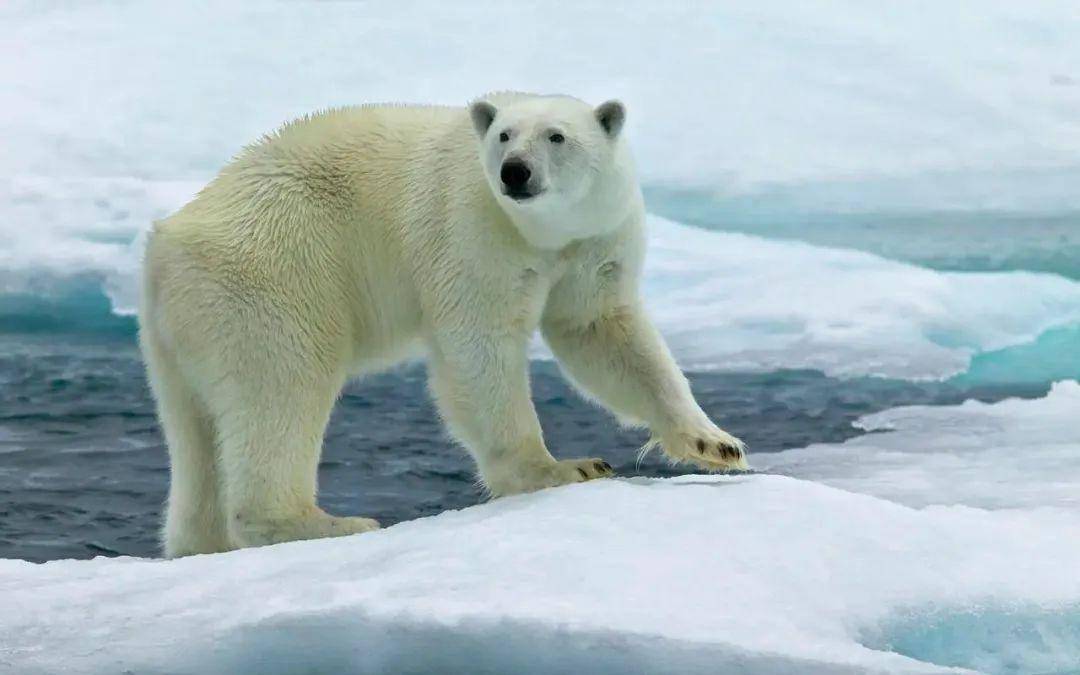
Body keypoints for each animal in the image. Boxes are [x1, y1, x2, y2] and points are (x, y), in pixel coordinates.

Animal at [139, 92, 747, 557]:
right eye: (504, 135)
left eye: (556, 136)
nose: (515, 172)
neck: (540, 234)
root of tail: (165, 245)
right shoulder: (470, 227)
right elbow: (479, 345)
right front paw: (565, 468)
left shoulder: (592, 243)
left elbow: (602, 331)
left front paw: (715, 443)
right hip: (276, 273)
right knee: (284, 386)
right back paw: (324, 522)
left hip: (182, 333)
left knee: (197, 434)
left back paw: (200, 543)